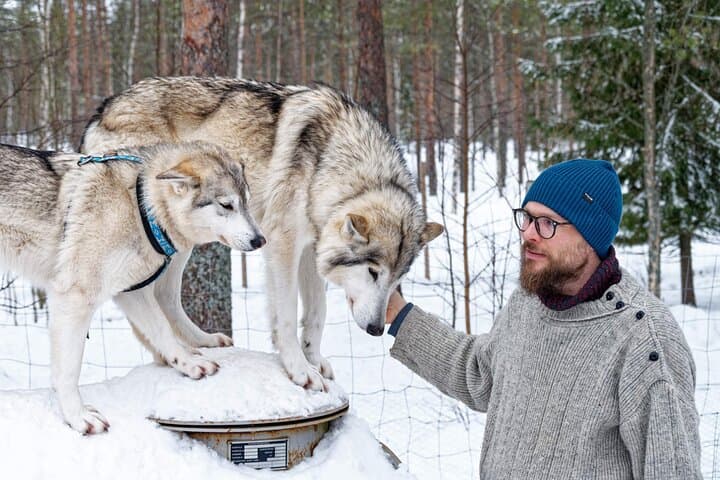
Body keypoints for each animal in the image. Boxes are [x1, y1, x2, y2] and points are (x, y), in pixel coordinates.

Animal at [0, 141, 265, 434]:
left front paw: (188, 363)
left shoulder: (132, 292)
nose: (260, 240)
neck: (139, 206)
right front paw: (78, 417)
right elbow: (68, 371)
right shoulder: (75, 298)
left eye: (247, 202)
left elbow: (163, 331)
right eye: (227, 205)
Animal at [82, 76, 444, 392]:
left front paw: (313, 359)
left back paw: (201, 342)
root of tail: (104, 107)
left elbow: (317, 313)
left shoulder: (312, 250)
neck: (329, 163)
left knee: (164, 296)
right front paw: (299, 370)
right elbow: (286, 316)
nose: (376, 329)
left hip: (183, 241)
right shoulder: (282, 245)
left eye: (397, 279)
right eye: (372, 272)